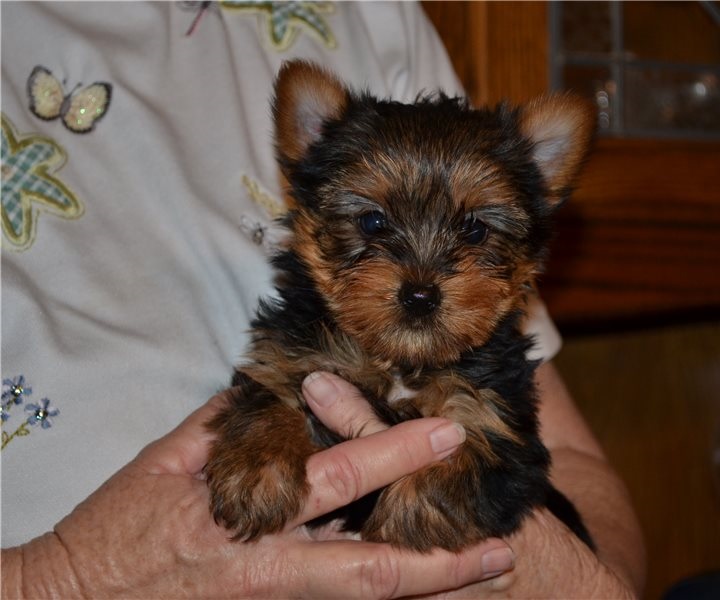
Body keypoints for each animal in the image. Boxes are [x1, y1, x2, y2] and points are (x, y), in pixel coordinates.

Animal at [204, 58, 596, 552]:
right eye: (373, 222)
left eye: (474, 230)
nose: (420, 295)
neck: (399, 362)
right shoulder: (291, 360)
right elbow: (266, 401)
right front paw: (255, 472)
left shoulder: (494, 418)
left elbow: (461, 459)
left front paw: (404, 519)